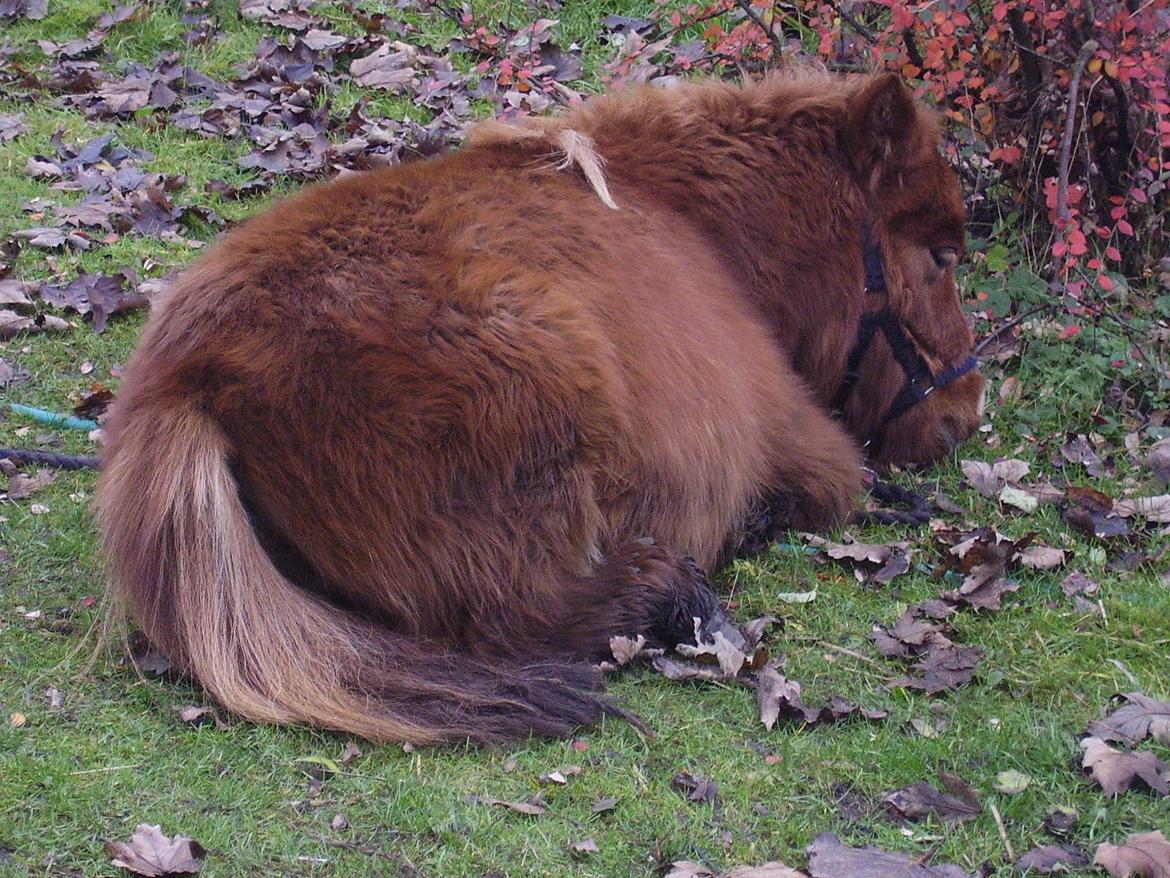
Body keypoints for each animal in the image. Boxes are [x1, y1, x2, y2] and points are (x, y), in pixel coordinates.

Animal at [95, 72, 982, 744]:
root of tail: (187, 380)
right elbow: (832, 485)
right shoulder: (803, 442)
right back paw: (666, 590)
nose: (963, 414)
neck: (692, 219)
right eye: (941, 257)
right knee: (516, 618)